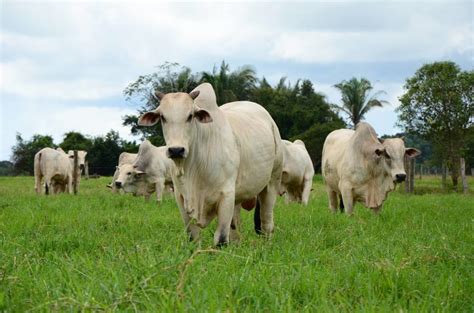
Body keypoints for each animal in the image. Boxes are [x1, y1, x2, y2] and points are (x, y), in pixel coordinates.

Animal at [139, 81, 284, 245]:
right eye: (163, 117)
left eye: (190, 116)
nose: (176, 150)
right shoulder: (181, 197)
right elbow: (193, 236)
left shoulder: (227, 194)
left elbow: (221, 238)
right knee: (235, 226)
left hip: (272, 182)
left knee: (267, 222)